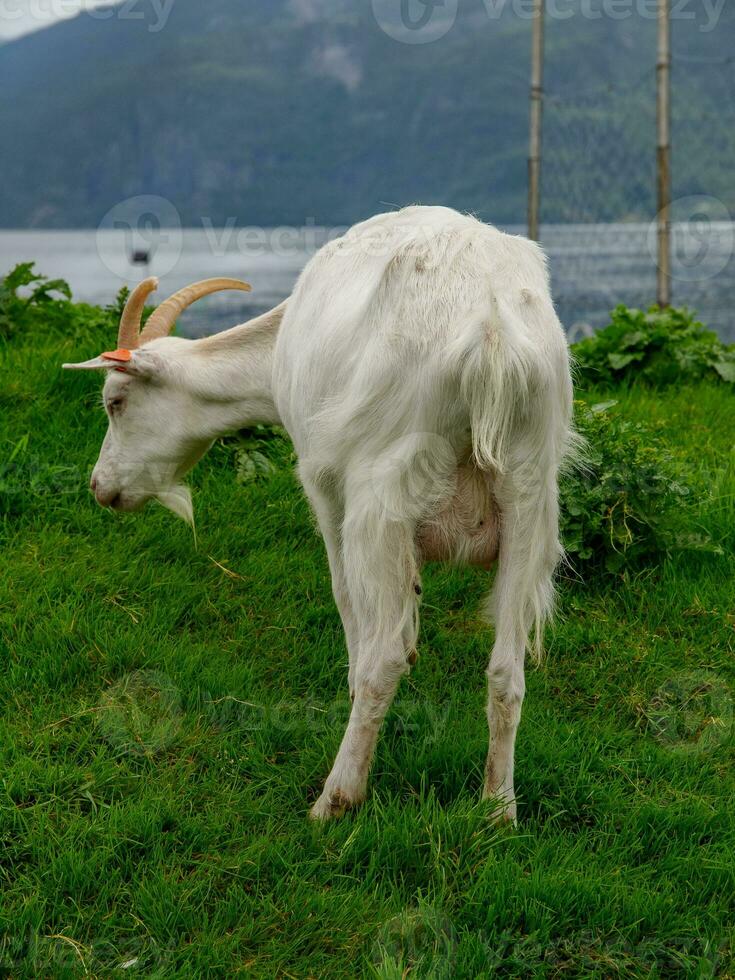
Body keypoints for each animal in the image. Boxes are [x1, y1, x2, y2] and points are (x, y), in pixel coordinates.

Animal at [64, 205, 576, 820]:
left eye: (115, 402)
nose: (101, 487)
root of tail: (491, 331)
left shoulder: (324, 485)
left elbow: (347, 604)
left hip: (383, 493)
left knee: (385, 659)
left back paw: (336, 799)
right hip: (530, 495)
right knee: (506, 669)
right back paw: (497, 809)